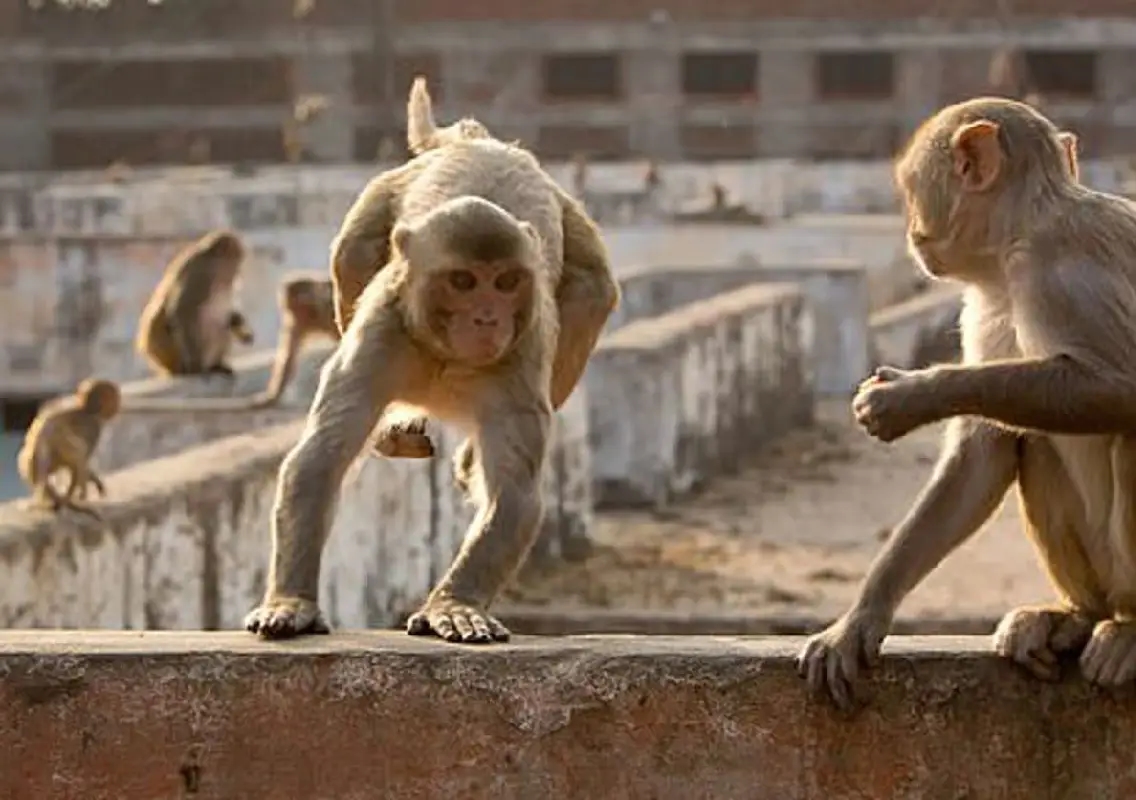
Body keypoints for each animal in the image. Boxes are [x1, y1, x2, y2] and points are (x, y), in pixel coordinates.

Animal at [17, 378, 121, 518]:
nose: (117, 407)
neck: (87, 410)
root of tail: (41, 436)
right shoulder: (94, 428)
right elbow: (84, 459)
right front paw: (94, 481)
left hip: (33, 459)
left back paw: (61, 501)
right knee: (78, 451)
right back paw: (72, 500)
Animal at [135, 230, 254, 380]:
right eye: (237, 262)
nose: (238, 275)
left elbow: (229, 317)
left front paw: (238, 322)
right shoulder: (201, 274)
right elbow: (183, 310)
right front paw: (195, 365)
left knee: (222, 323)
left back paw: (216, 365)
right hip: (172, 357)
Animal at [243, 77, 620, 645]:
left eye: (506, 281)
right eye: (463, 281)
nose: (486, 319)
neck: (446, 355)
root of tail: (481, 141)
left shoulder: (522, 353)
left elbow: (514, 492)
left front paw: (455, 604)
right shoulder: (379, 336)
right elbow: (320, 459)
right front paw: (291, 602)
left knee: (592, 291)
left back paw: (464, 458)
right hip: (379, 202)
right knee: (353, 252)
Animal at [798, 97, 1136, 712]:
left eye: (911, 187)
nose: (910, 229)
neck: (1014, 243)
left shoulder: (1063, 267)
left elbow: (1121, 388)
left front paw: (911, 394)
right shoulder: (983, 302)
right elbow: (982, 451)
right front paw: (860, 619)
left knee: (1125, 431)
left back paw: (1132, 633)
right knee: (1034, 437)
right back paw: (1077, 614)